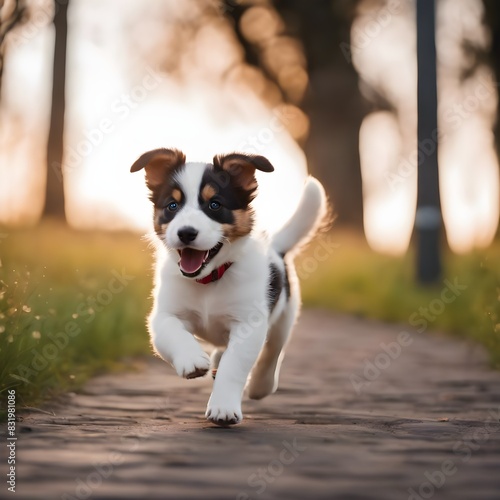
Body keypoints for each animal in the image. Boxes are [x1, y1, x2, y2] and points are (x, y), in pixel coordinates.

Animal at [131, 148, 328, 426]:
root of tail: (276, 248)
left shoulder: (248, 324)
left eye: (215, 205)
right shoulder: (164, 315)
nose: (186, 233)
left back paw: (260, 385)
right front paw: (192, 361)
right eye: (172, 205)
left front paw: (223, 408)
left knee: (272, 352)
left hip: (285, 316)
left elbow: (234, 366)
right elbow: (173, 332)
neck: (209, 279)